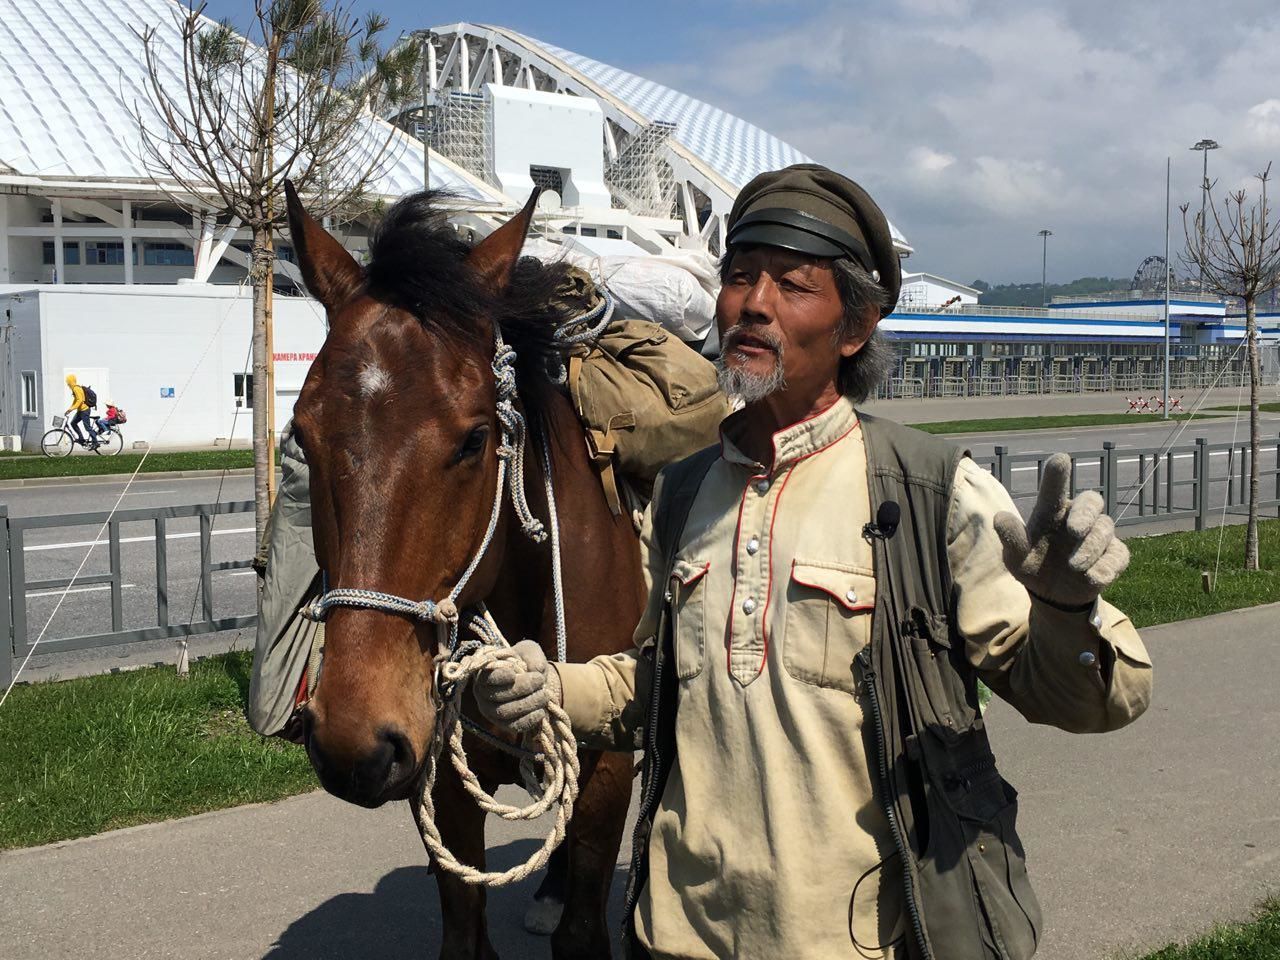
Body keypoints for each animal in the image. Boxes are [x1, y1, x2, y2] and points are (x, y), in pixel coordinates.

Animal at [280, 181, 640, 960]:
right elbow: (465, 933)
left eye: (476, 439)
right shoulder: (441, 778)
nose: (354, 739)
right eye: (303, 432)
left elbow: (583, 931)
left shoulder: (608, 769)